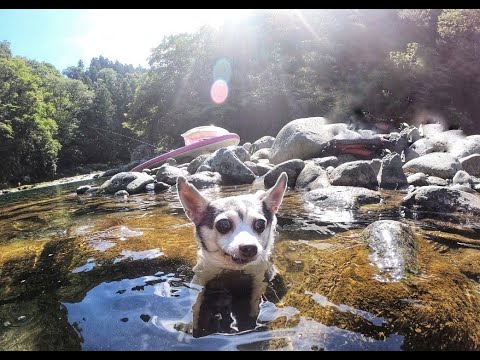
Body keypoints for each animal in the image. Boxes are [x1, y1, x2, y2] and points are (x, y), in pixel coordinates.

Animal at [176, 172, 288, 338]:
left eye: (260, 224)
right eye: (223, 225)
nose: (250, 248)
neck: (232, 269)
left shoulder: (259, 275)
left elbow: (255, 298)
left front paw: (253, 318)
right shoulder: (201, 276)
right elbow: (194, 302)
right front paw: (188, 322)